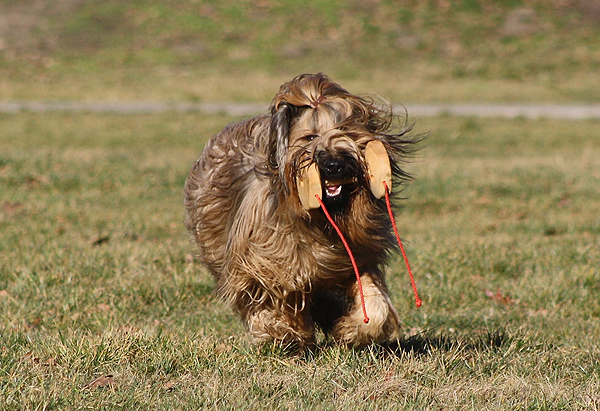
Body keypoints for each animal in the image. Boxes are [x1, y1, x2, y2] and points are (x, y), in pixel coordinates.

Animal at [184, 73, 418, 348]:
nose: (334, 165)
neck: (322, 220)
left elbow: (375, 303)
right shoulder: (265, 261)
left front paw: (350, 329)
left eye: (346, 132)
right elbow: (275, 296)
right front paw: (285, 333)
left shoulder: (358, 254)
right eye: (310, 137)